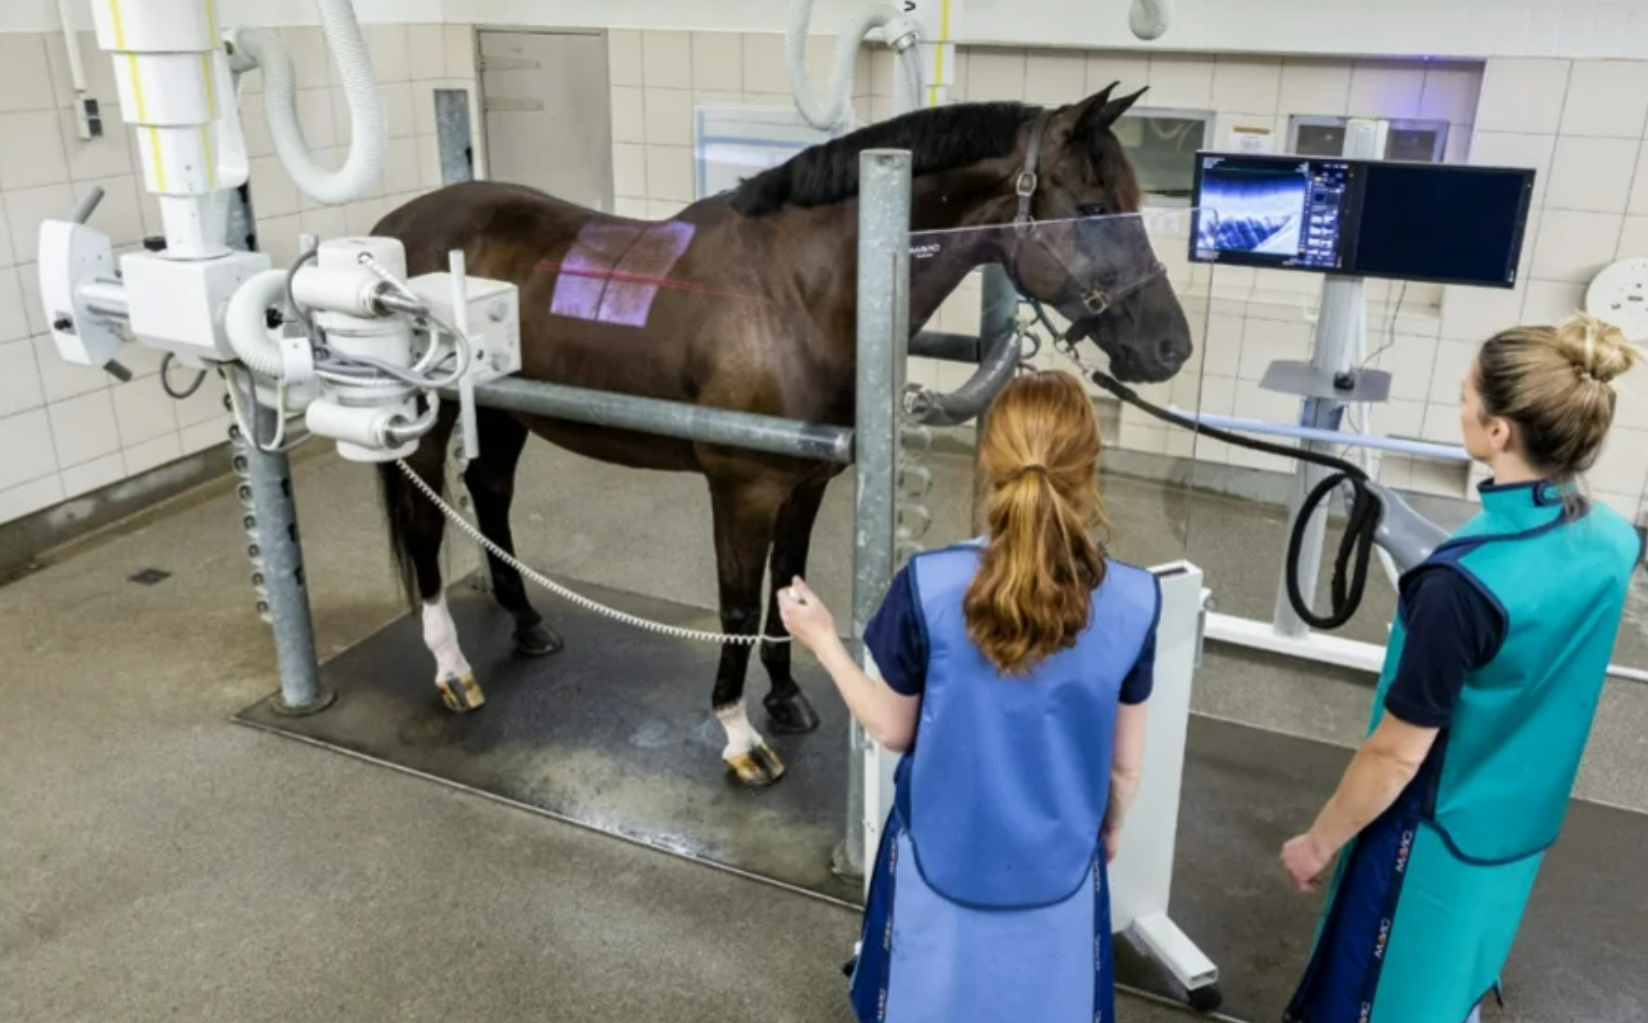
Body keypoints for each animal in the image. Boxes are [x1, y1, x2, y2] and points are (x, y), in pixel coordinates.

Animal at [370, 83, 1199, 787]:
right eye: (1092, 206)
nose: (1170, 347)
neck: (796, 292)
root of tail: (391, 229)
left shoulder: (807, 481)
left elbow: (788, 583)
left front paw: (787, 696)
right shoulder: (743, 487)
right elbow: (738, 602)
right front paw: (740, 736)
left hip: (501, 413)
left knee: (488, 494)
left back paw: (528, 621)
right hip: (428, 419)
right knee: (422, 525)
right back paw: (451, 668)